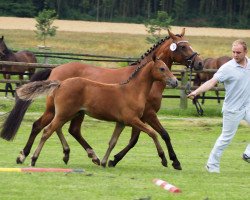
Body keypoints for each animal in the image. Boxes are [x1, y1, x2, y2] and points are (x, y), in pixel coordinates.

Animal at [0, 28, 203, 170]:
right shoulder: (147, 114)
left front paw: (112, 159)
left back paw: (79, 154)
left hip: (73, 112)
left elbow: (134, 139)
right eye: (183, 46)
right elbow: (160, 135)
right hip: (58, 110)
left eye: (189, 44)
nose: (200, 63)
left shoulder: (137, 117)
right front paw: (174, 161)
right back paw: (25, 155)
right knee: (43, 126)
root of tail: (56, 71)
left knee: (67, 129)